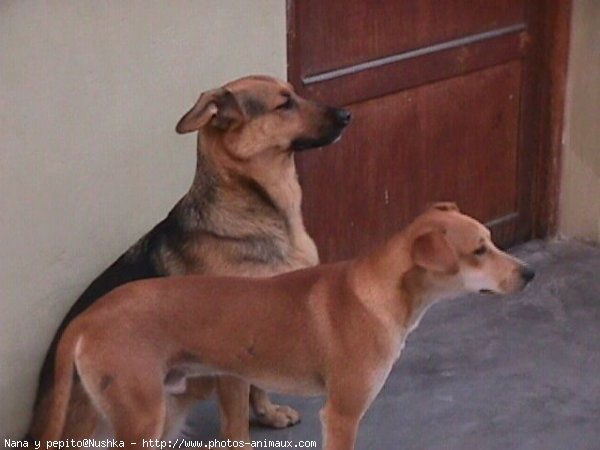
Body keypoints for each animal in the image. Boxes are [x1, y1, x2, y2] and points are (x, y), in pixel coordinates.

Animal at [27, 75, 352, 442]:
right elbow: (236, 422)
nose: (347, 115)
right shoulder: (232, 359)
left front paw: (268, 413)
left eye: (294, 94)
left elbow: (259, 388)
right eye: (284, 104)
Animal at [43, 204, 536, 450]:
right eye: (479, 250)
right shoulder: (341, 414)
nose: (529, 274)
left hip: (166, 409)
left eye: (492, 241)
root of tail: (88, 315)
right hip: (141, 417)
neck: (377, 292)